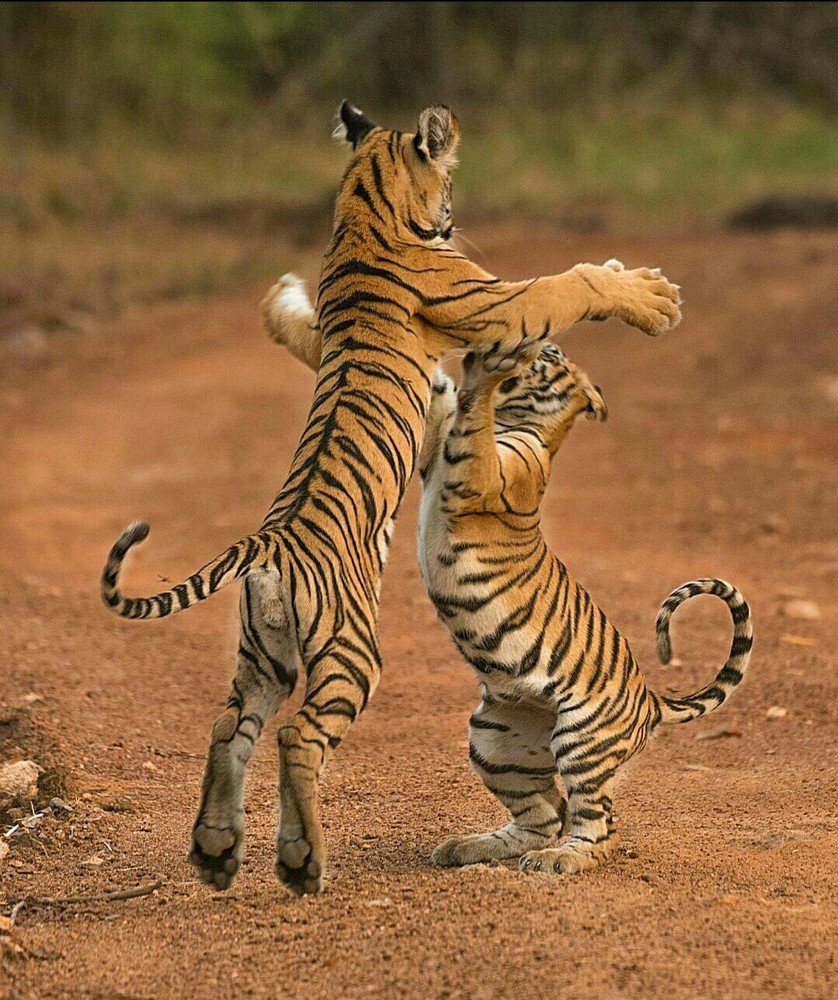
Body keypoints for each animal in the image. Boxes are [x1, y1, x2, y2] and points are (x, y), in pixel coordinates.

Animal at [100, 101, 682, 896]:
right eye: (449, 191)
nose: (454, 219)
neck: (361, 208)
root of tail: (269, 544)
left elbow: (296, 329)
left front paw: (280, 297)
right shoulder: (497, 299)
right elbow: (572, 283)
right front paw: (650, 295)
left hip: (263, 657)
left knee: (230, 728)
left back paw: (216, 851)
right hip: (351, 654)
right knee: (298, 737)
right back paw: (301, 861)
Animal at [264, 290, 752, 876]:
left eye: (551, 350)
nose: (531, 343)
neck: (519, 419)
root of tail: (650, 699)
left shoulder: (482, 470)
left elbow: (469, 411)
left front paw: (484, 368)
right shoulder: (435, 442)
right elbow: (439, 394)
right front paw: (289, 316)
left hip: (582, 738)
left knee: (595, 826)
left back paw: (560, 861)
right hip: (495, 740)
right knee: (543, 815)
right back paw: (467, 848)